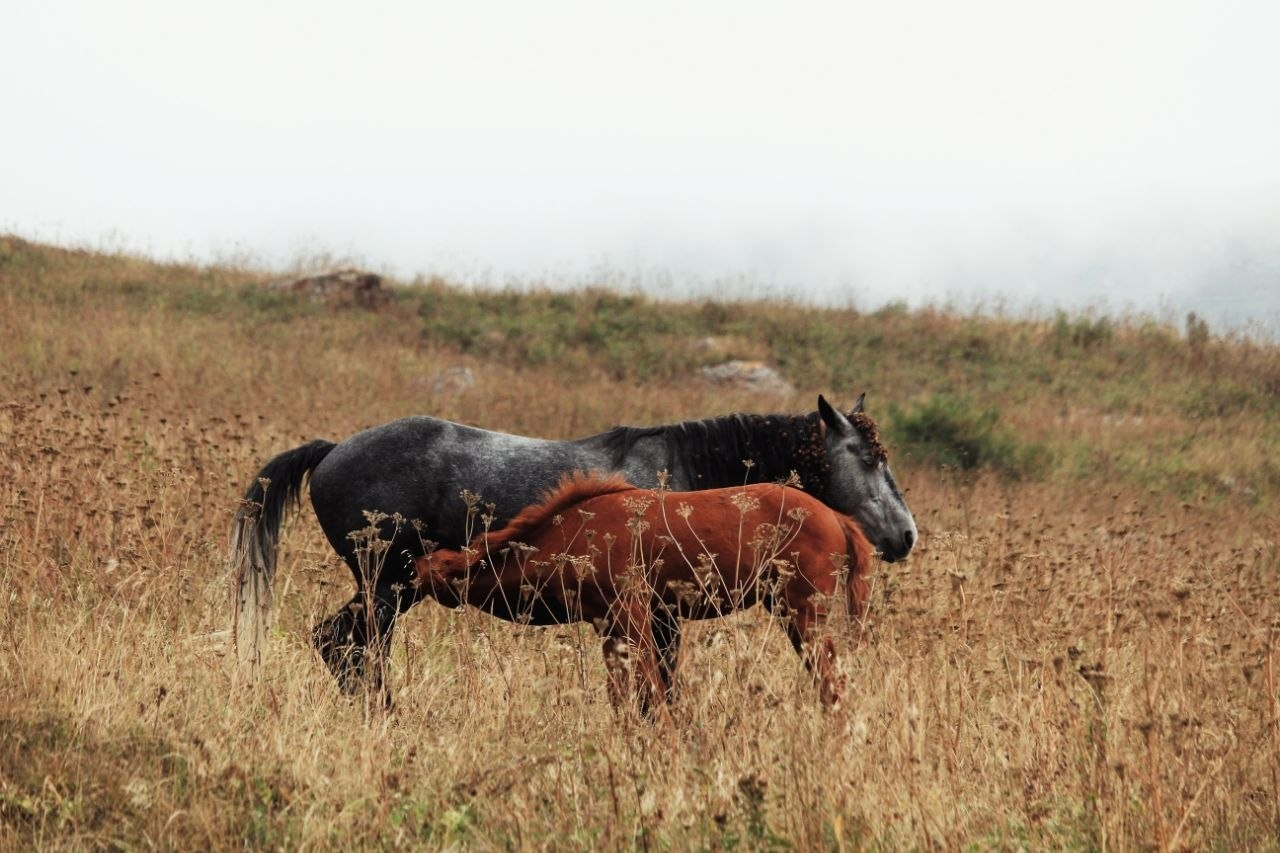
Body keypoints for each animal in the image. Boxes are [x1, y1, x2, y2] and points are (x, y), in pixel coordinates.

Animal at [415, 474, 875, 714]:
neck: (575, 531)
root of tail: (835, 516)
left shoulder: (632, 615)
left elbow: (650, 689)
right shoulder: (607, 626)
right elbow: (622, 696)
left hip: (803, 614)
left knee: (832, 680)